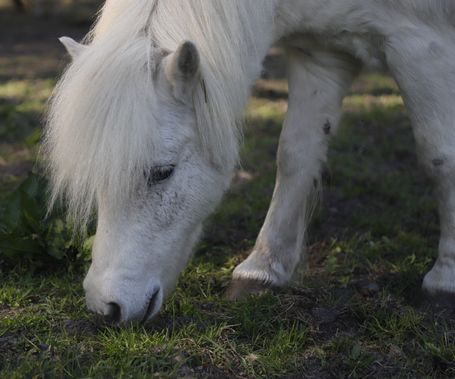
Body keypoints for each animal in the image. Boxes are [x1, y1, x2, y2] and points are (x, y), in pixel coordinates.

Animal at [45, 0, 455, 326]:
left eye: (162, 173)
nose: (106, 306)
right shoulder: (320, 54)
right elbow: (295, 155)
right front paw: (262, 270)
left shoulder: (423, 47)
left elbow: (440, 158)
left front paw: (444, 282)